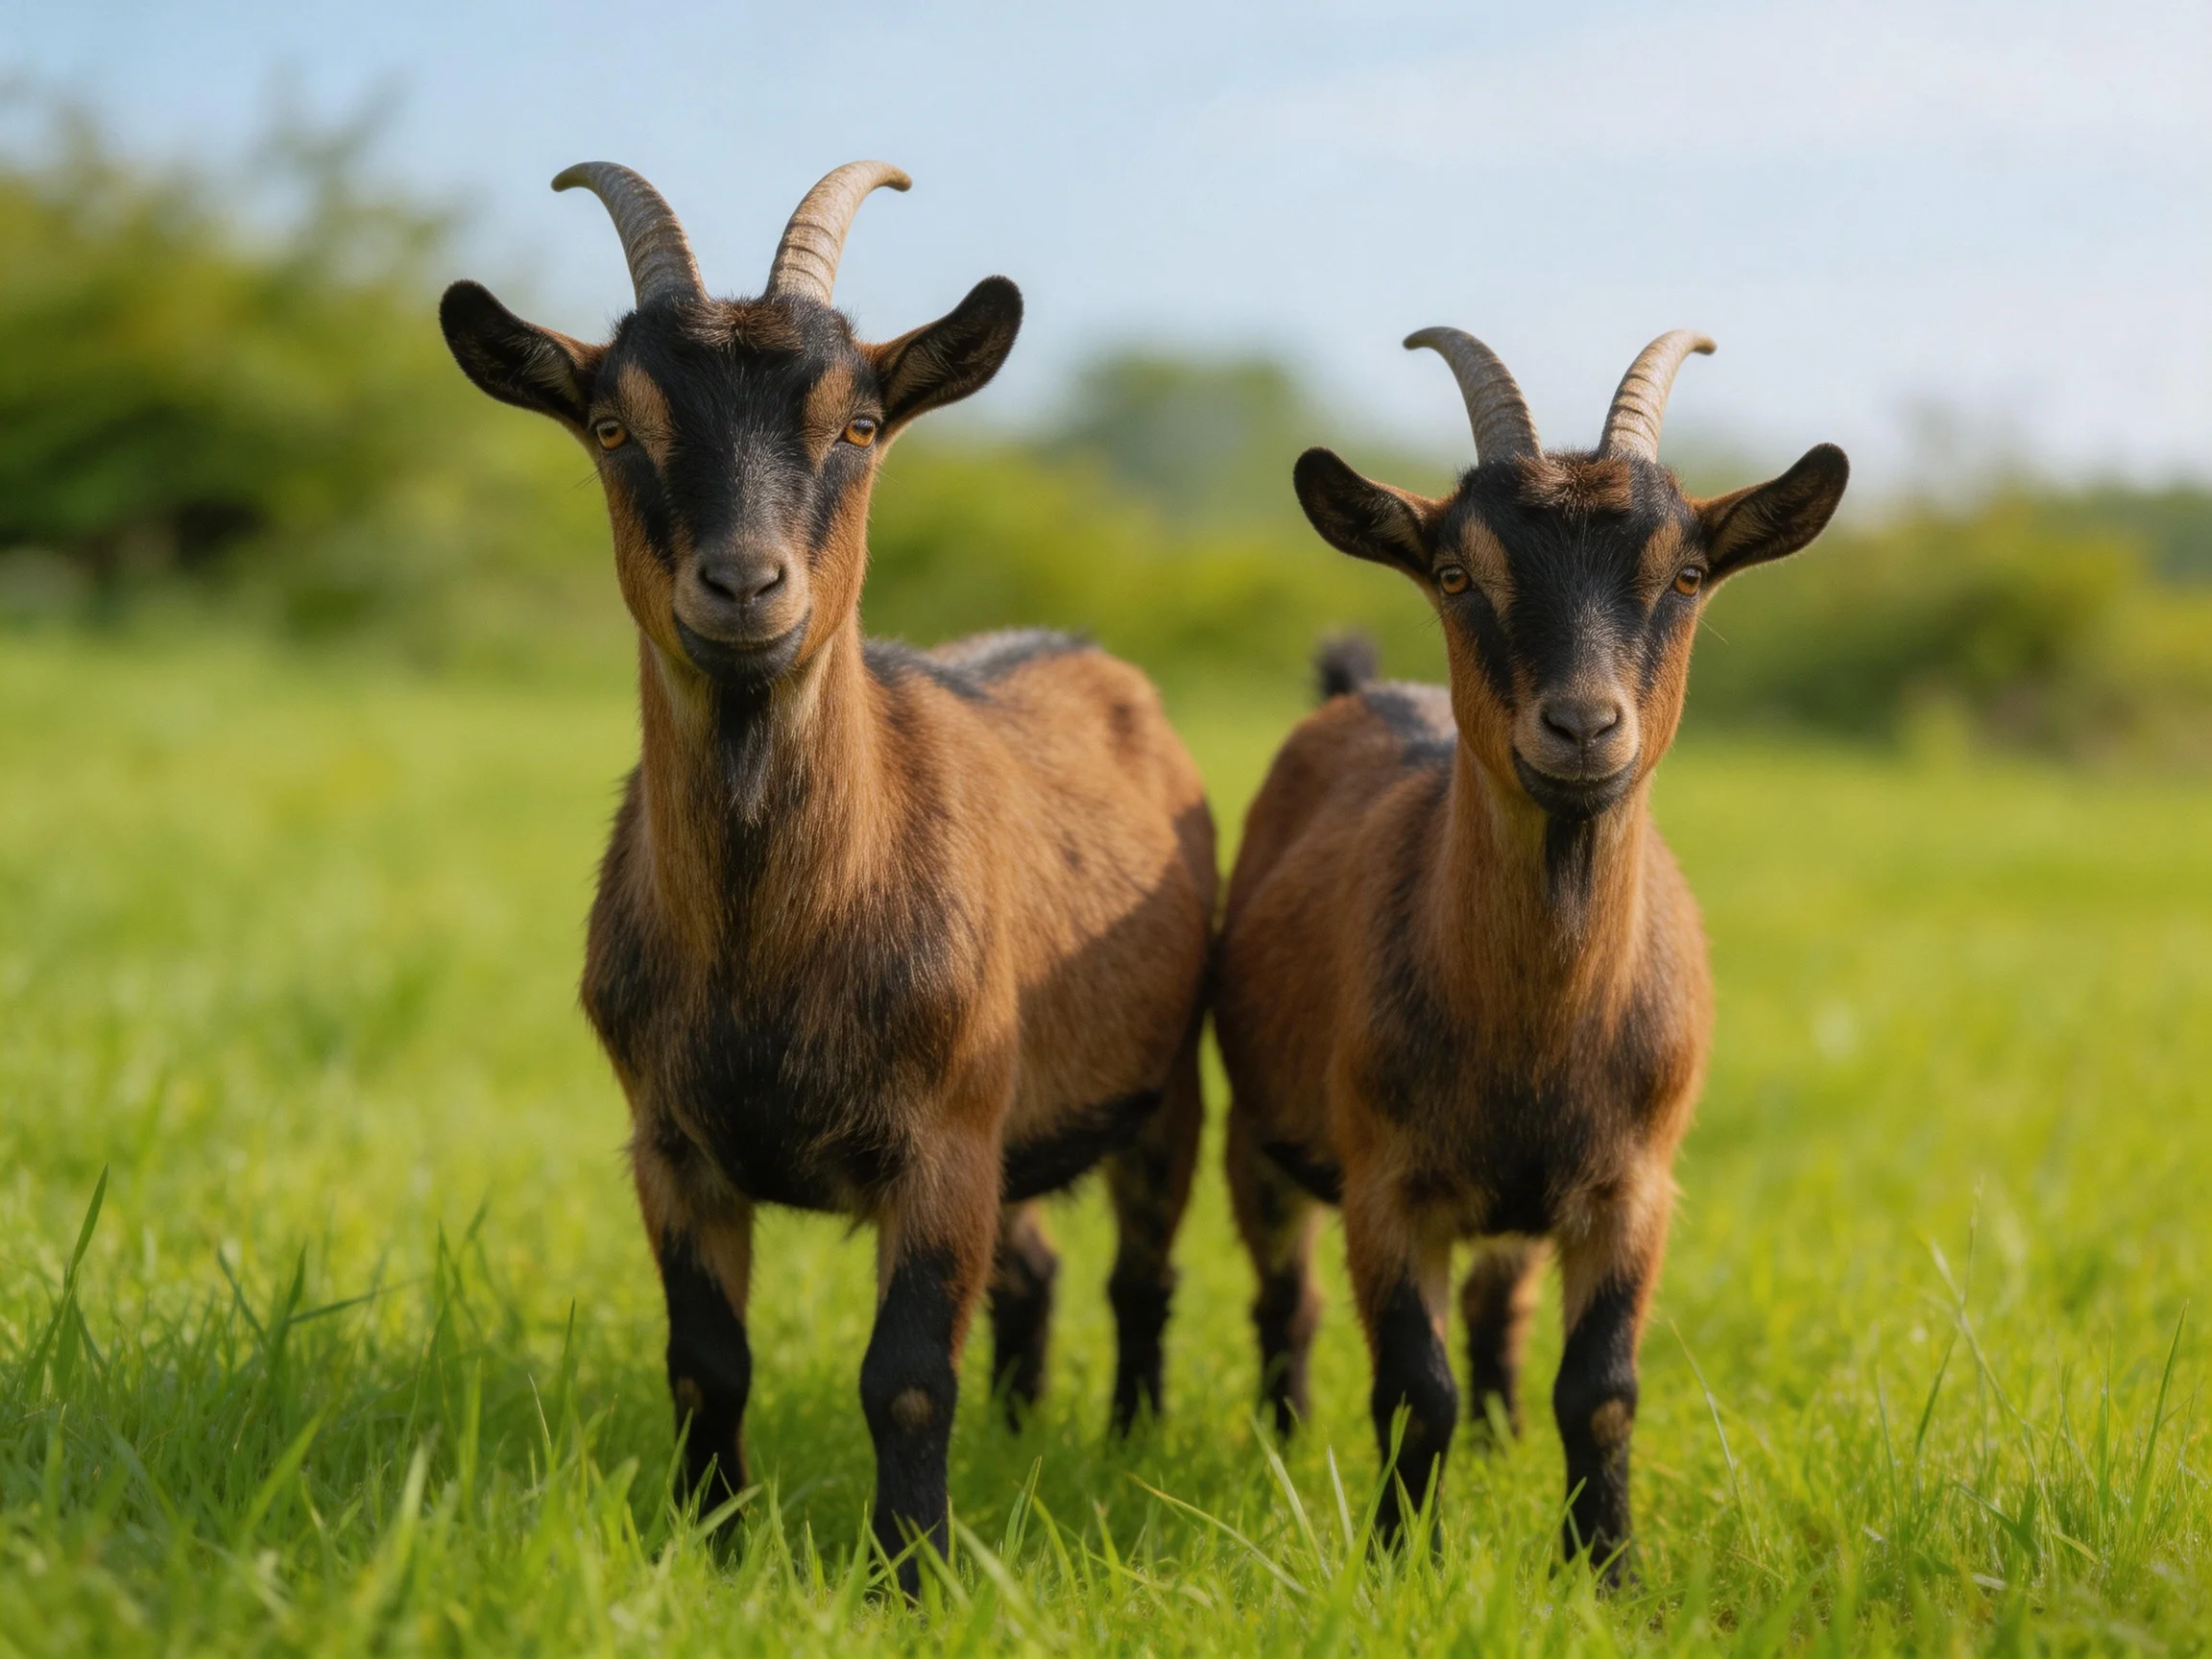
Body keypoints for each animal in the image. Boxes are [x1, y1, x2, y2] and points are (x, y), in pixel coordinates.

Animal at [438, 162, 1215, 1588]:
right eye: (614, 428)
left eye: (857, 424)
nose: (745, 585)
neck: (775, 947)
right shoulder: (669, 1142)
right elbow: (705, 1365)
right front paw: (712, 1546)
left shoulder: (944, 1141)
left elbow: (905, 1377)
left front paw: (911, 1575)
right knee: (1031, 1270)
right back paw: (1024, 1433)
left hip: (1162, 1084)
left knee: (1141, 1273)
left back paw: (1126, 1441)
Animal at [1213, 327, 1847, 1577]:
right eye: (1458, 575)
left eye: (1686, 575)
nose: (1582, 727)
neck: (1535, 1033)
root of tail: (1362, 692)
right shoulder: (1387, 1186)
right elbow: (1414, 1388)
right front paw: (1400, 1562)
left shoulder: (1632, 1188)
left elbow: (1598, 1389)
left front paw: (1605, 1569)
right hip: (1256, 1139)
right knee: (1285, 1301)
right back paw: (1281, 1436)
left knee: (1497, 1311)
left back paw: (1501, 1442)